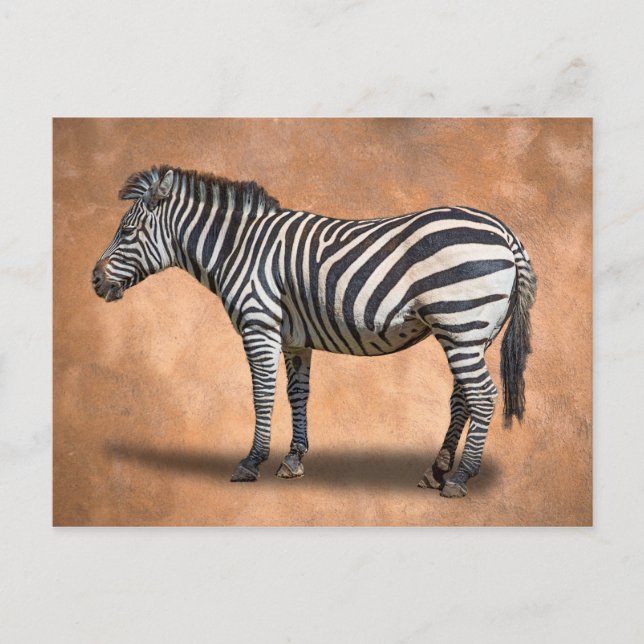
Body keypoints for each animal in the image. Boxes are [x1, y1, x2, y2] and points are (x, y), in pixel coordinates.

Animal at [92, 165, 536, 498]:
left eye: (127, 232)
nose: (94, 280)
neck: (238, 249)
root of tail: (504, 232)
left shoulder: (259, 325)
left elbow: (262, 394)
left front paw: (252, 461)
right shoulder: (294, 340)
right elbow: (297, 394)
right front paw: (293, 458)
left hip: (460, 323)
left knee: (483, 395)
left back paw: (460, 478)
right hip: (472, 332)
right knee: (463, 397)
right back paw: (437, 471)